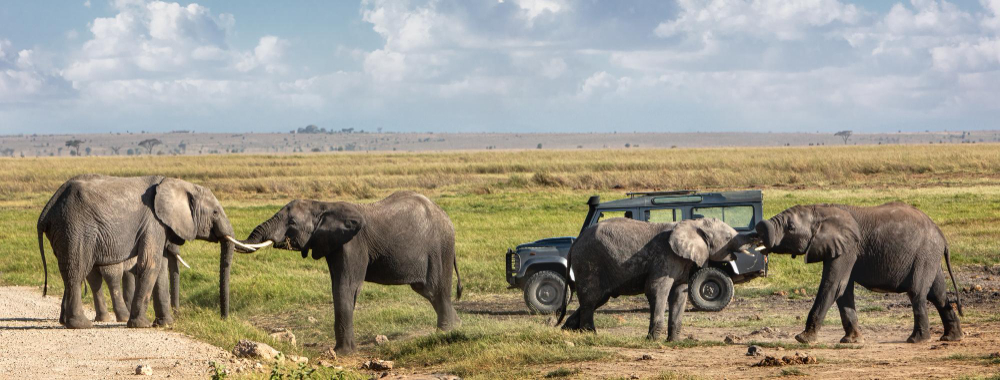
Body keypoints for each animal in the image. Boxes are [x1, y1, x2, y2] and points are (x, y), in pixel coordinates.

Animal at [38, 176, 262, 330]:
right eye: (215, 212)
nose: (224, 319)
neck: (179, 184)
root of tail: (47, 209)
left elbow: (160, 269)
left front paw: (165, 324)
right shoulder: (153, 223)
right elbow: (150, 265)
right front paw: (142, 324)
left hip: (64, 231)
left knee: (72, 271)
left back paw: (66, 321)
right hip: (76, 228)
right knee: (77, 271)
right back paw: (80, 324)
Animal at [240, 191, 462, 354]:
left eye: (292, 223)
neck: (323, 206)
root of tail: (447, 218)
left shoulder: (353, 243)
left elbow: (346, 286)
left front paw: (342, 353)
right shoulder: (334, 244)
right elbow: (338, 285)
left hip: (440, 248)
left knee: (436, 290)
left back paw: (445, 332)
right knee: (429, 292)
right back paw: (456, 326)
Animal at [560, 217, 752, 342]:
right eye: (728, 238)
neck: (693, 223)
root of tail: (575, 242)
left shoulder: (681, 262)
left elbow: (679, 294)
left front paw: (674, 341)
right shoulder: (665, 257)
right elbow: (657, 290)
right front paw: (653, 340)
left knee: (598, 298)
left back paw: (567, 330)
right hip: (588, 261)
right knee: (591, 298)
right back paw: (590, 335)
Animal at [756, 202, 960, 344]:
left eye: (790, 227)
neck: (822, 210)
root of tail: (942, 236)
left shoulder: (848, 248)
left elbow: (833, 286)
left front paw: (803, 338)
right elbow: (843, 291)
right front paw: (852, 341)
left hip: (924, 254)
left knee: (917, 293)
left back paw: (917, 340)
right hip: (929, 256)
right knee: (938, 295)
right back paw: (951, 338)